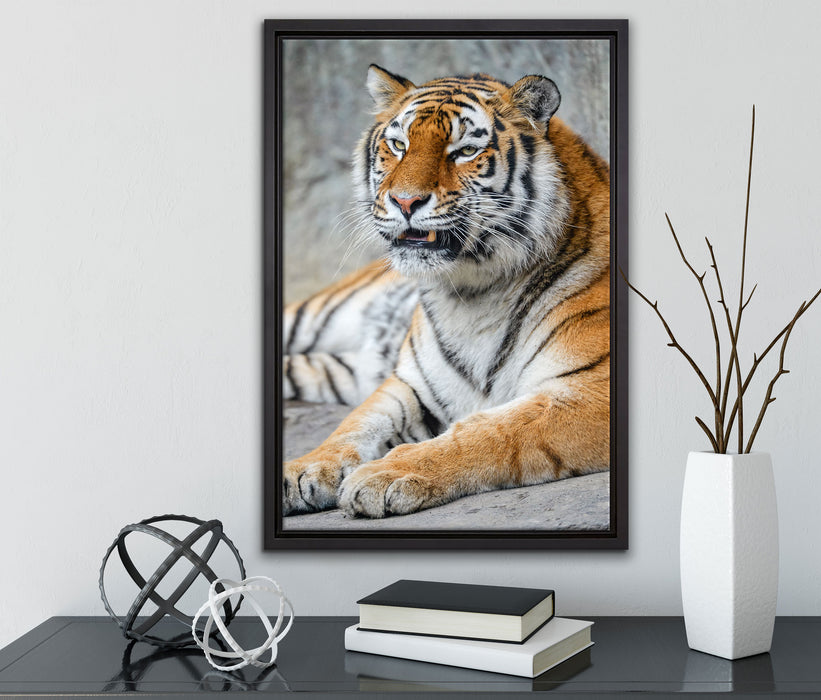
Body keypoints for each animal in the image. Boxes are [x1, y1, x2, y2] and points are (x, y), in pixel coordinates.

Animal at [282, 65, 611, 519]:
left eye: (465, 150)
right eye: (398, 145)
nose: (405, 201)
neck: (475, 291)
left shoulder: (593, 390)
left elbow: (492, 430)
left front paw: (384, 475)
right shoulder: (409, 384)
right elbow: (357, 423)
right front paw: (306, 467)